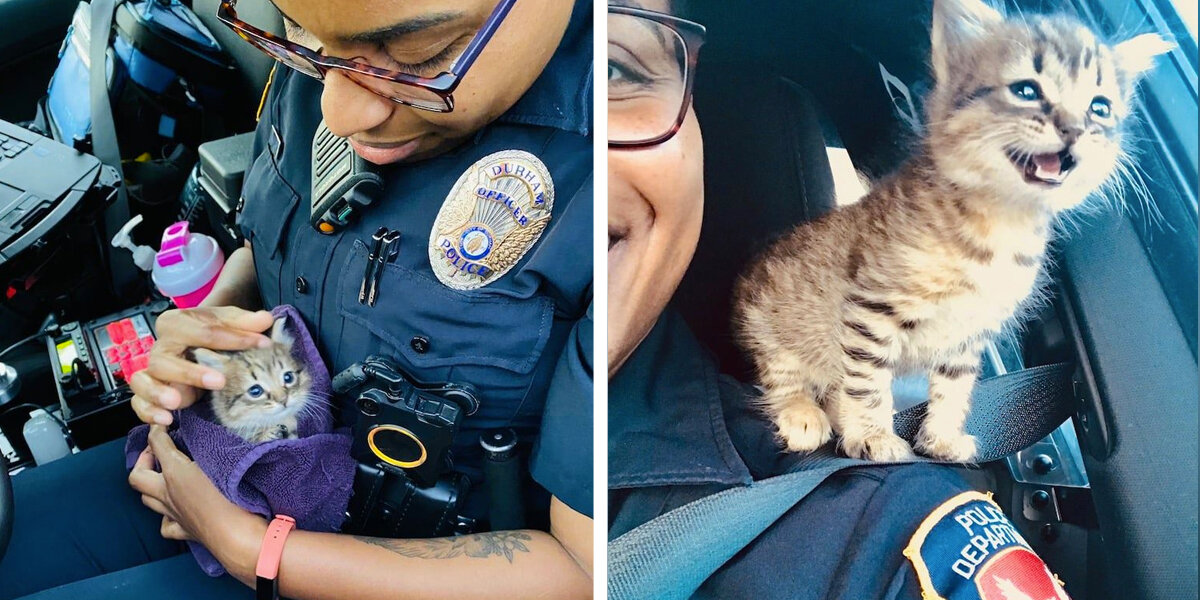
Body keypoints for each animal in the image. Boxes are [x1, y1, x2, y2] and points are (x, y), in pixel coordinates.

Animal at [729, 0, 1171, 460]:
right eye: (1026, 91)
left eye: (1099, 107)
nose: (1074, 128)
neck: (1001, 223)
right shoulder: (872, 310)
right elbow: (867, 382)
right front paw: (872, 434)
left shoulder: (969, 332)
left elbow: (954, 388)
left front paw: (941, 436)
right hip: (767, 316)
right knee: (782, 374)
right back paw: (803, 413)